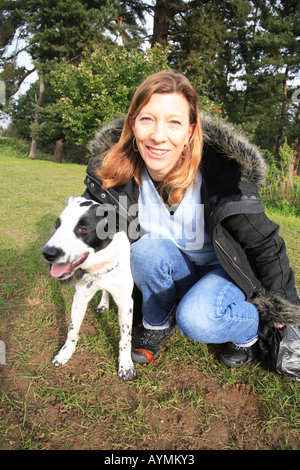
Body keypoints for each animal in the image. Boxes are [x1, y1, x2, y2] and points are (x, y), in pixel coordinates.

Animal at [42, 196, 136, 380]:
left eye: (83, 229)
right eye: (58, 224)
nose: (48, 253)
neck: (98, 269)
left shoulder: (126, 303)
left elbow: (125, 339)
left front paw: (126, 365)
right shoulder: (79, 298)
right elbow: (72, 330)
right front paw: (65, 354)